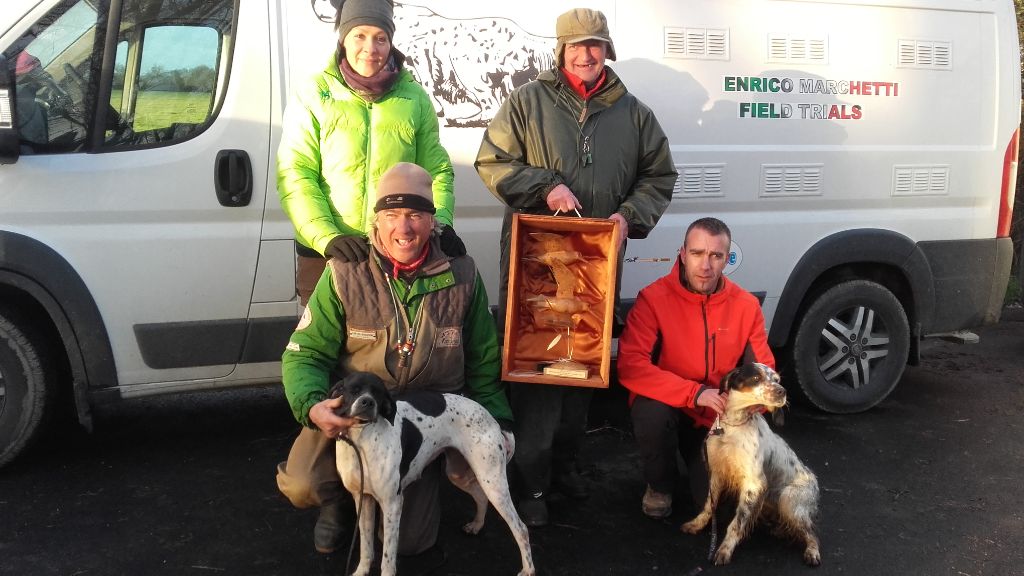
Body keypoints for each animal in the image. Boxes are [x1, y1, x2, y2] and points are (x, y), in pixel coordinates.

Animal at [327, 368, 536, 569]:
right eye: (354, 390)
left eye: (378, 393)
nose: (367, 402)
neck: (361, 439)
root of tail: (495, 421)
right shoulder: (363, 498)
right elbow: (366, 548)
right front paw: (361, 571)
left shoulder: (392, 504)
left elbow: (387, 559)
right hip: (459, 474)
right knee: (480, 496)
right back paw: (476, 525)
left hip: (493, 484)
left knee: (521, 529)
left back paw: (527, 570)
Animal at [679, 360, 823, 561]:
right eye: (756, 378)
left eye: (777, 380)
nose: (782, 391)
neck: (733, 426)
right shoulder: (716, 473)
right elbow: (709, 505)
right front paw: (696, 524)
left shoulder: (753, 483)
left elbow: (736, 523)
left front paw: (725, 549)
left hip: (789, 498)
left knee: (812, 531)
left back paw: (812, 551)